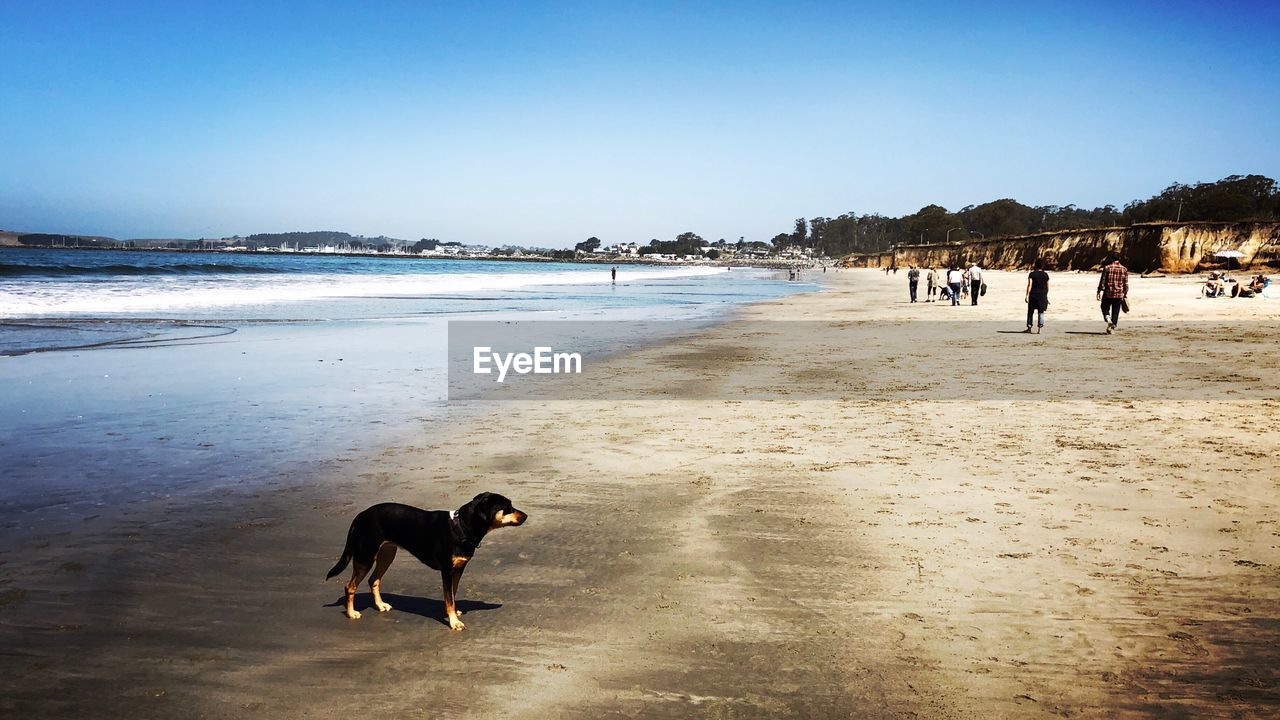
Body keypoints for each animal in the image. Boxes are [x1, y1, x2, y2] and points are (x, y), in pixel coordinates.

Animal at [332, 486, 532, 627]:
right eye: (507, 508)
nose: (526, 516)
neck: (461, 527)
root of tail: (361, 515)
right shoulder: (447, 571)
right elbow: (449, 598)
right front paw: (454, 623)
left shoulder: (458, 569)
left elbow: (452, 594)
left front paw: (454, 614)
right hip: (365, 556)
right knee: (350, 586)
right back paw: (351, 613)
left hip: (387, 554)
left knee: (373, 580)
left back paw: (380, 605)